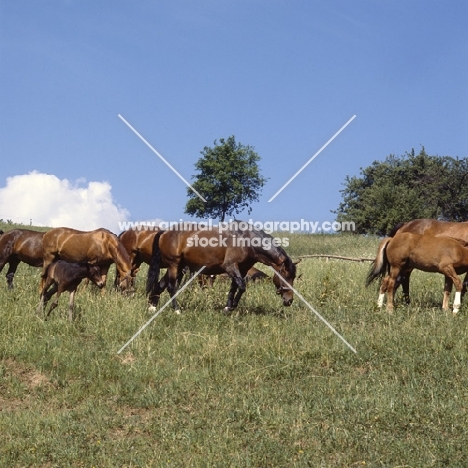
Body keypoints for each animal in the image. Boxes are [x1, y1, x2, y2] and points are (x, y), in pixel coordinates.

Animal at [146, 224, 294, 312]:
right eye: (286, 275)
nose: (289, 300)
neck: (246, 240)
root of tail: (164, 232)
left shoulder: (241, 270)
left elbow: (234, 287)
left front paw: (228, 307)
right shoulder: (230, 266)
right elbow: (242, 287)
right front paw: (231, 306)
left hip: (178, 267)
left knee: (160, 285)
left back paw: (152, 307)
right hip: (174, 265)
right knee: (171, 287)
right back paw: (177, 310)